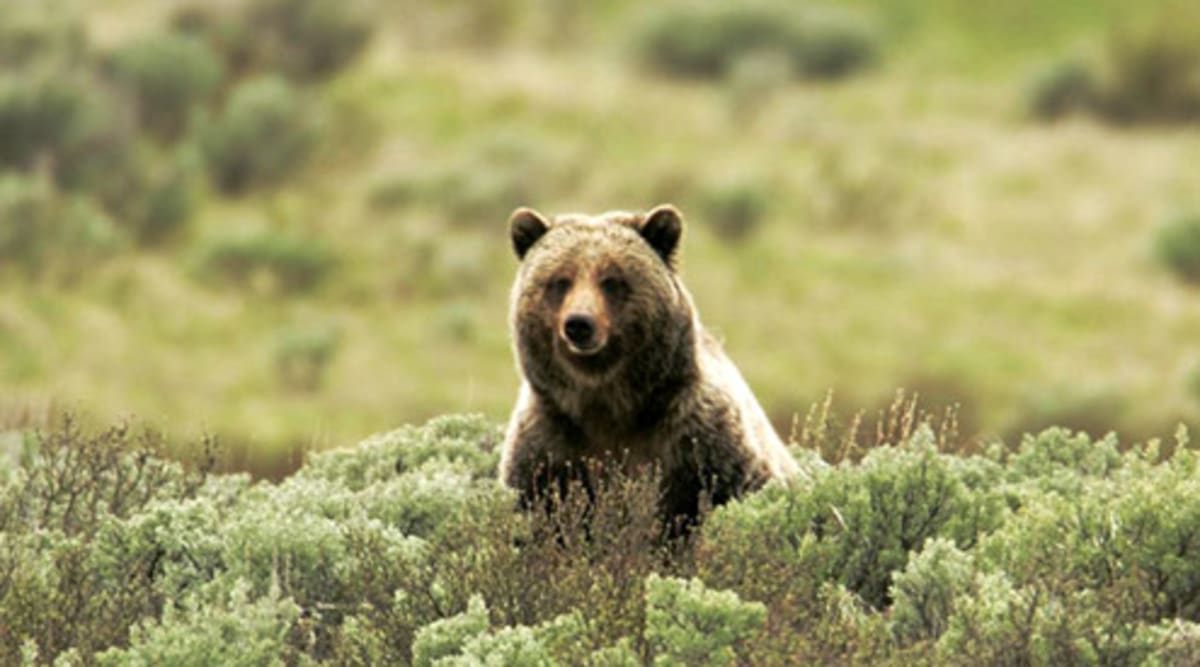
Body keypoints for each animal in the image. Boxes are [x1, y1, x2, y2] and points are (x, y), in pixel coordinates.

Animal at [498, 204, 799, 531]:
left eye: (611, 280)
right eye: (560, 280)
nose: (579, 323)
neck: (608, 404)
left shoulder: (700, 442)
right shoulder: (549, 446)